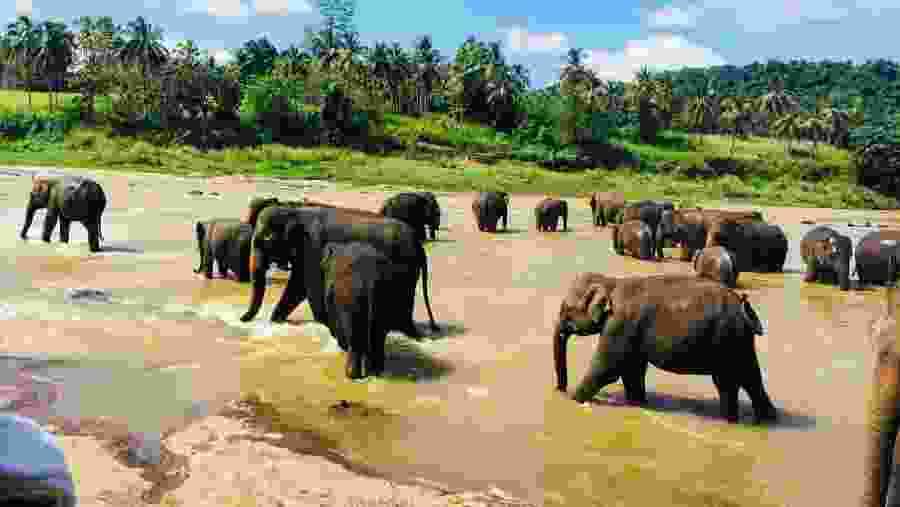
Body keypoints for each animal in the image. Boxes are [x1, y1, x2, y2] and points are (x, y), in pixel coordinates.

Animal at [239, 205, 438, 336]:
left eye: (263, 241)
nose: (242, 319)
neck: (295, 212)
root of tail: (419, 245)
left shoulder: (312, 247)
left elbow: (308, 287)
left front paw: (324, 323)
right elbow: (297, 286)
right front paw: (275, 320)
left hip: (407, 266)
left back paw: (408, 333)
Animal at [321, 241, 421, 379]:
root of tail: (370, 278)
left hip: (352, 298)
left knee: (355, 333)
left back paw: (352, 373)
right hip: (384, 296)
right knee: (378, 334)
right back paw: (375, 370)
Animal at [552, 273, 777, 424]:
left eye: (566, 310)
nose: (560, 390)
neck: (611, 282)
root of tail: (743, 306)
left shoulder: (619, 324)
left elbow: (608, 368)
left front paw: (574, 399)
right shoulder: (630, 330)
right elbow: (632, 369)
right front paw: (638, 403)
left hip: (726, 340)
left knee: (728, 382)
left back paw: (729, 420)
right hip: (739, 342)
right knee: (750, 376)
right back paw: (767, 419)